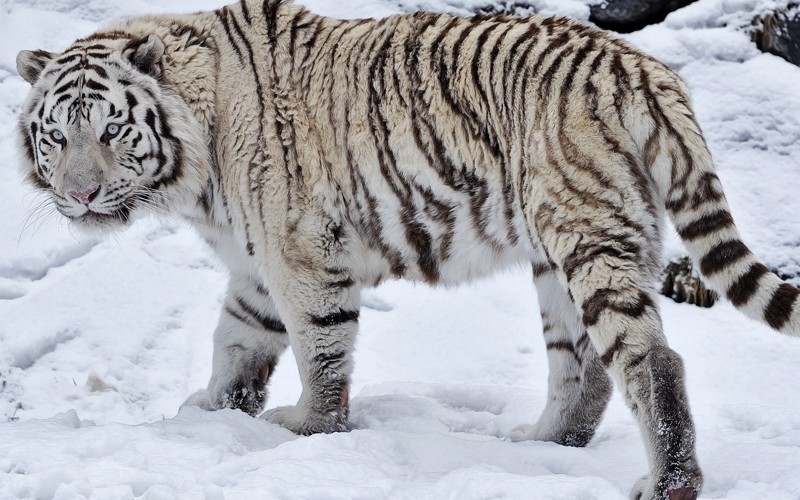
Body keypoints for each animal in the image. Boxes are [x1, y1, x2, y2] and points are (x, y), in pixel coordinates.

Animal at [14, 1, 800, 498]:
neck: (195, 158)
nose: (80, 196)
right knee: (582, 366)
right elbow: (235, 342)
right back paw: (542, 443)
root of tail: (645, 69)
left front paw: (308, 428)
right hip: (563, 254)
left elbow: (319, 350)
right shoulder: (255, 266)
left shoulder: (301, 253)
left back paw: (668, 485)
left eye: (111, 131)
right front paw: (211, 413)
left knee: (652, 360)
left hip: (587, 235)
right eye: (56, 135)